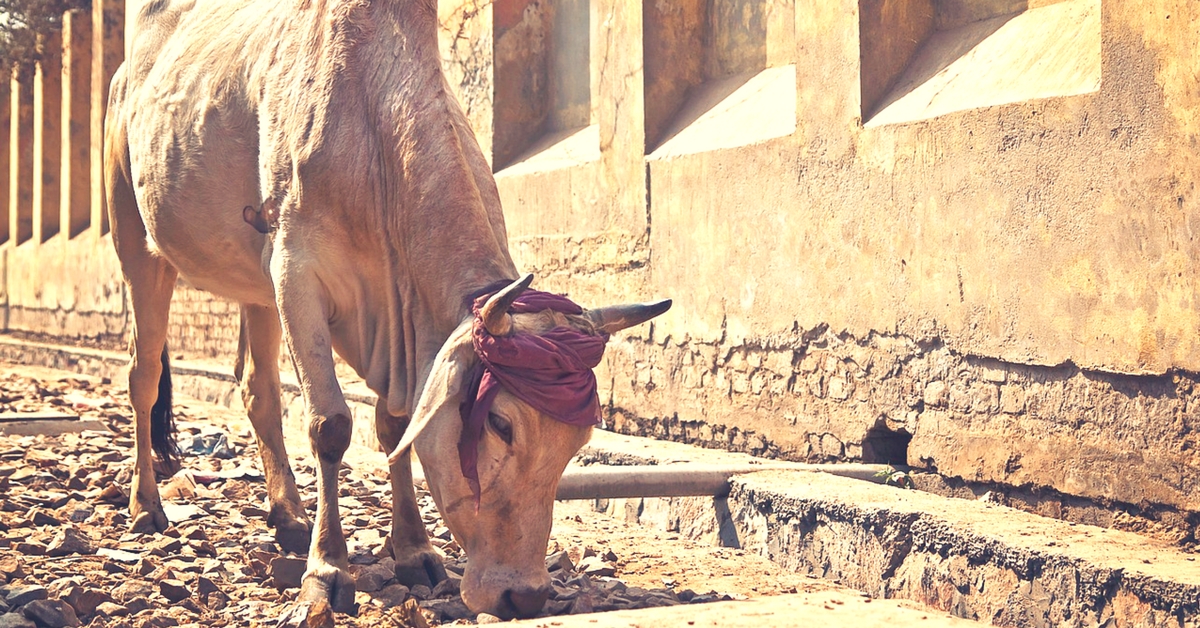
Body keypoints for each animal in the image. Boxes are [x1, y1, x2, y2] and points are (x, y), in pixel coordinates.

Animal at [106, 0, 672, 619]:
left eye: (578, 442)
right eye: (499, 423)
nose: (522, 595)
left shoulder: (387, 327)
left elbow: (396, 426)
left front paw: (413, 550)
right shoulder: (296, 275)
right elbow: (330, 426)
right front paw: (328, 569)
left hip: (256, 287)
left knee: (257, 388)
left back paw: (288, 516)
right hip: (138, 245)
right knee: (143, 376)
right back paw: (145, 505)